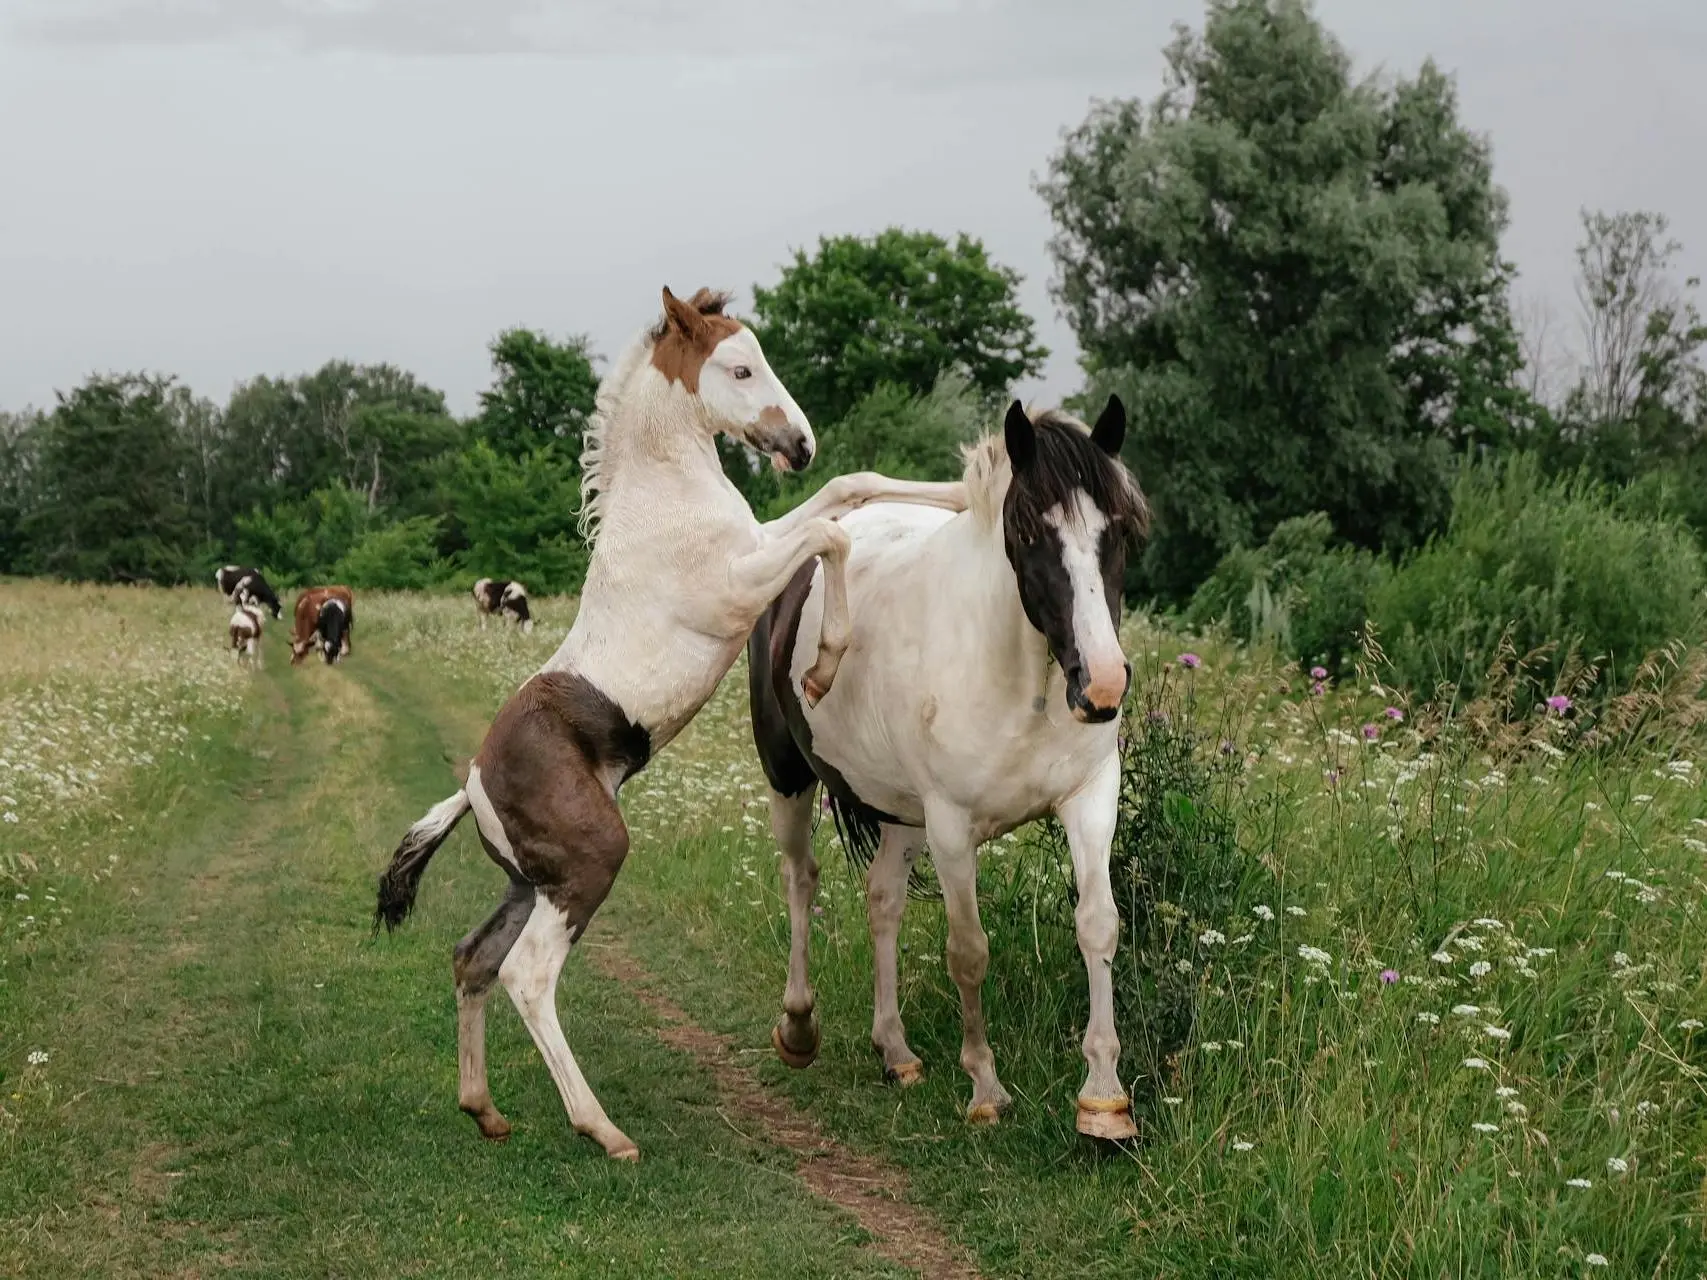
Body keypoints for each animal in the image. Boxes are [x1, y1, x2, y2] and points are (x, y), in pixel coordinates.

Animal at [375, 288, 976, 1160]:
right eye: (739, 368)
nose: (797, 443)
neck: (666, 497)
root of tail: (473, 785)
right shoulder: (738, 582)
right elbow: (828, 527)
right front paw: (824, 664)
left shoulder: (759, 541)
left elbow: (845, 490)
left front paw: (964, 489)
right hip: (588, 864)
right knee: (527, 976)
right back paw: (602, 1129)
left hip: (530, 882)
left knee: (472, 960)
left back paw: (484, 1109)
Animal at [747, 399, 1147, 1140]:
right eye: (1027, 531)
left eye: (1119, 531)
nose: (1102, 687)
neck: (1020, 680)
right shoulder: (953, 827)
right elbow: (968, 951)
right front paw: (985, 1087)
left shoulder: (1089, 799)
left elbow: (1098, 925)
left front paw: (1104, 1100)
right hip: (790, 777)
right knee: (800, 879)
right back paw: (798, 1027)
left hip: (902, 816)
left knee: (882, 901)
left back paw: (895, 1050)